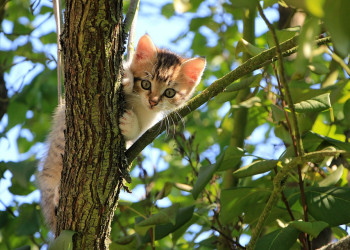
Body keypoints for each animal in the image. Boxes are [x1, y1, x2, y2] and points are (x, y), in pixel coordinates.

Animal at [38, 34, 206, 233]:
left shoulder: (148, 122)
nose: (153, 101)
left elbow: (137, 132)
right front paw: (126, 79)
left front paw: (129, 123)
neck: (140, 104)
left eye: (170, 92)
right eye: (146, 83)